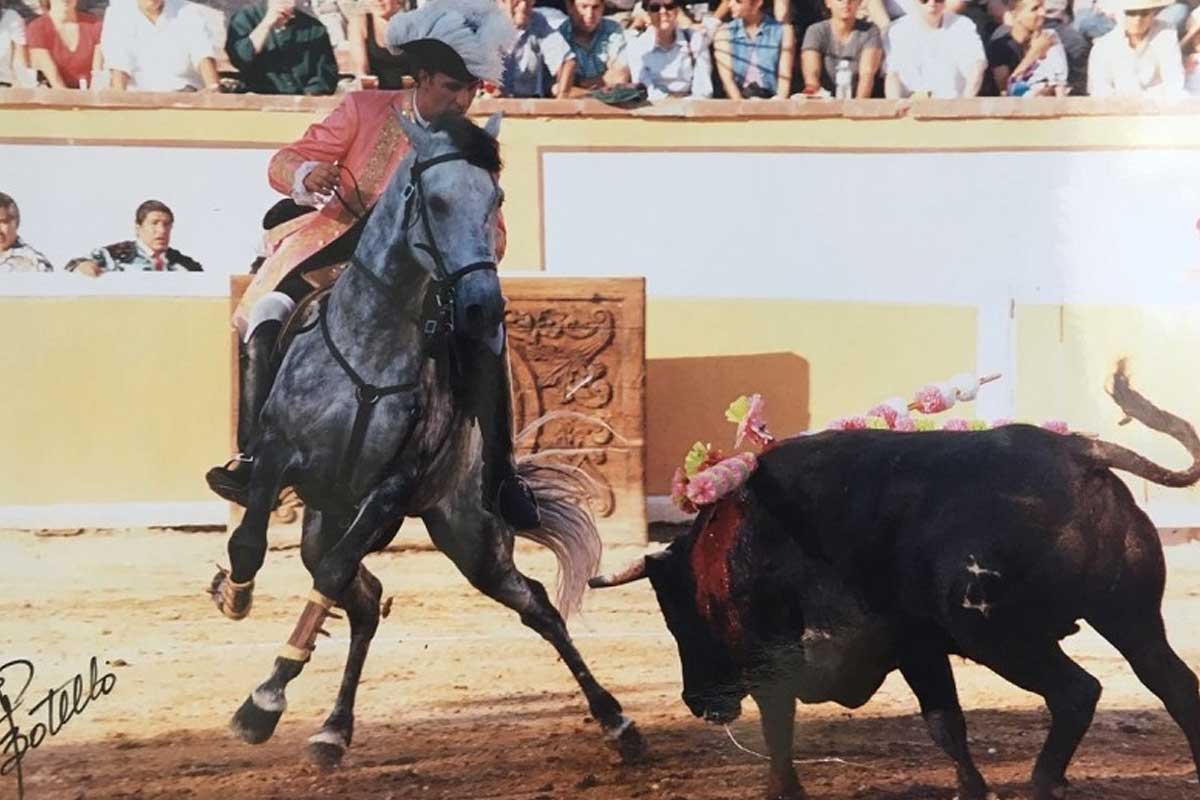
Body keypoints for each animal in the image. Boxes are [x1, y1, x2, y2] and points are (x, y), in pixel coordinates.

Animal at [208, 111, 647, 770]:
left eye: (495, 200)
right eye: (435, 201)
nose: (483, 305)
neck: (372, 344)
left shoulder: (392, 486)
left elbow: (332, 575)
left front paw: (263, 703)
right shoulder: (278, 455)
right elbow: (249, 545)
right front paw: (234, 599)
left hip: (470, 533)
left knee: (532, 604)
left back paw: (618, 721)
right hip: (328, 515)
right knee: (363, 599)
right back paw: (332, 729)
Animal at [591, 363, 1200, 800]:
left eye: (677, 615)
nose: (696, 702)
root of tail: (1078, 451)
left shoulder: (776, 663)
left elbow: (779, 728)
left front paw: (784, 792)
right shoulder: (919, 648)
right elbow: (944, 723)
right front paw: (972, 791)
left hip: (1002, 638)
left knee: (1078, 692)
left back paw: (1043, 782)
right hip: (1130, 619)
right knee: (1177, 688)